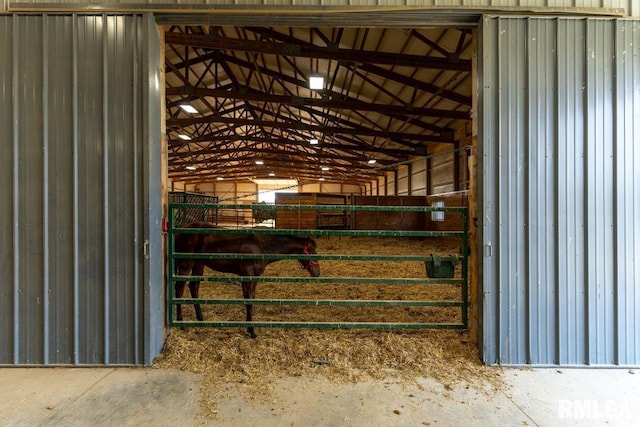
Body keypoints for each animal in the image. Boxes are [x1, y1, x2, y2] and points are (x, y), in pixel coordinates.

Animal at [172, 222, 320, 340]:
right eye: (313, 252)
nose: (317, 273)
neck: (261, 247)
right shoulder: (248, 276)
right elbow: (248, 301)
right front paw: (252, 331)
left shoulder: (253, 278)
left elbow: (251, 300)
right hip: (186, 264)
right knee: (179, 289)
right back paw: (181, 322)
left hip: (198, 264)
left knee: (194, 286)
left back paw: (200, 317)